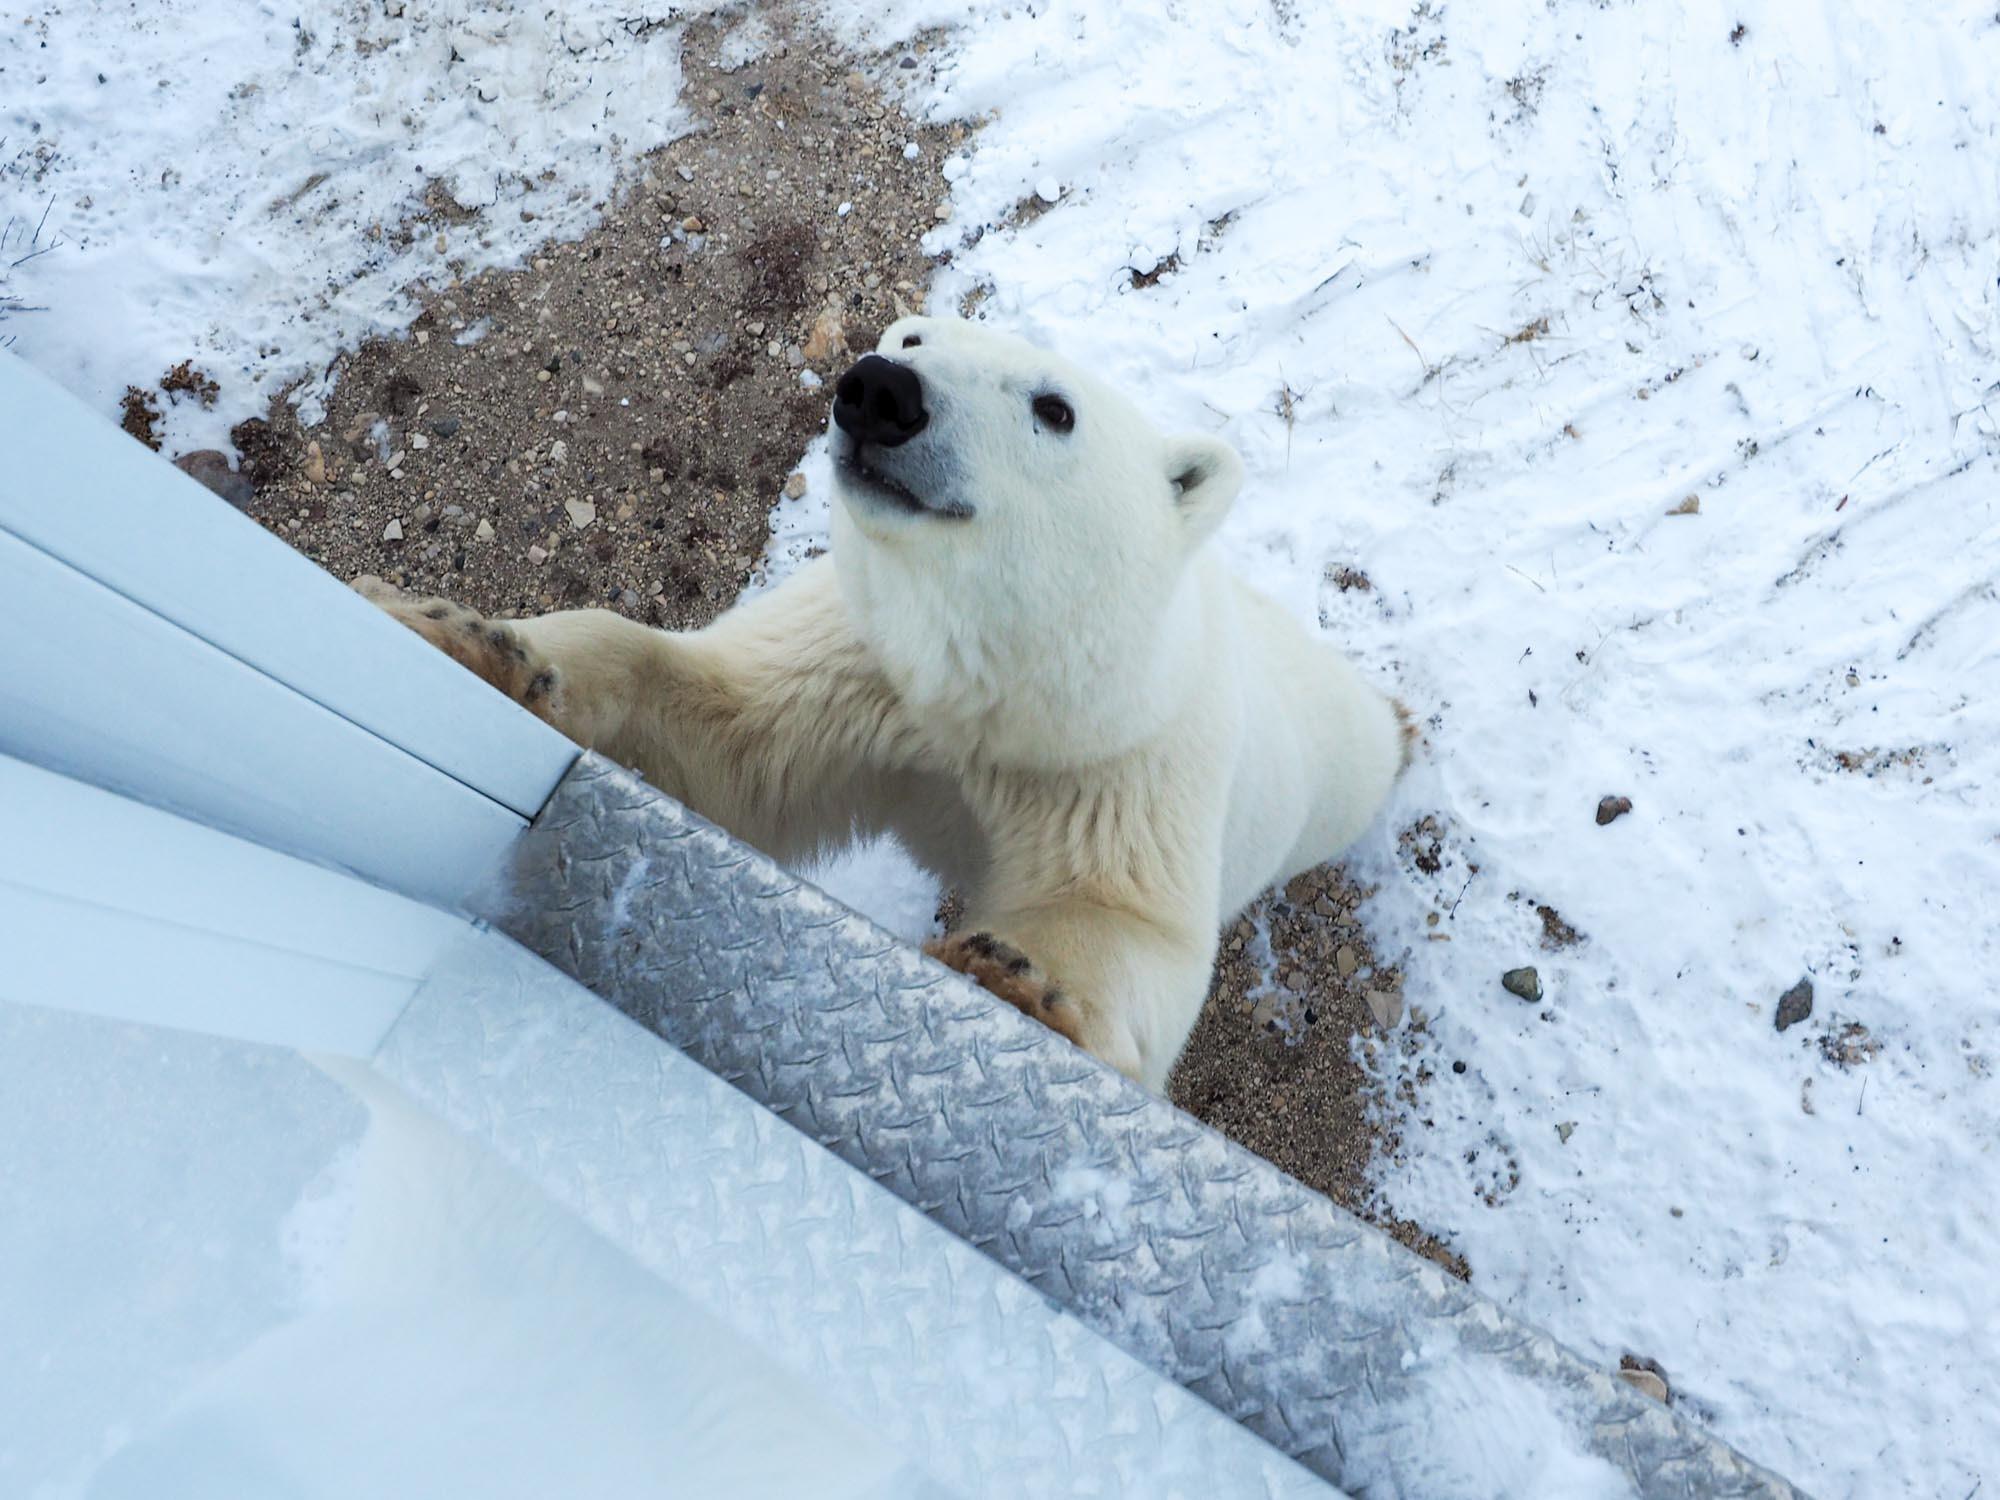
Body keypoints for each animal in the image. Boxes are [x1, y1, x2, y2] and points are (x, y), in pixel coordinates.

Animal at [356, 318, 1408, 1096]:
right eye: (911, 335)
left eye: (1054, 407)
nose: (878, 392)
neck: (991, 687)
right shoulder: (867, 668)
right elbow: (719, 731)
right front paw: (463, 639)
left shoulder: (1119, 753)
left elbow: (1121, 921)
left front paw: (1019, 983)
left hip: (1332, 771)